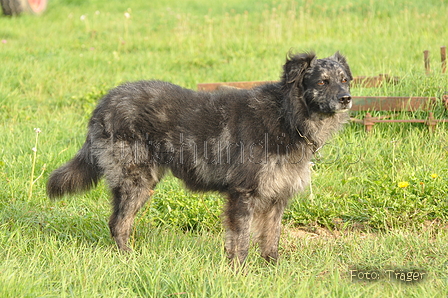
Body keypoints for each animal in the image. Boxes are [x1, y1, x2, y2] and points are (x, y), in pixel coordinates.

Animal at [47, 50, 352, 266]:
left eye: (345, 80)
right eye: (322, 81)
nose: (347, 98)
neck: (287, 115)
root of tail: (104, 102)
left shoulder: (277, 197)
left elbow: (270, 239)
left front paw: (272, 270)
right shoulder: (243, 194)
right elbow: (240, 240)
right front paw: (239, 272)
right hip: (136, 181)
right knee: (118, 224)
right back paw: (128, 259)